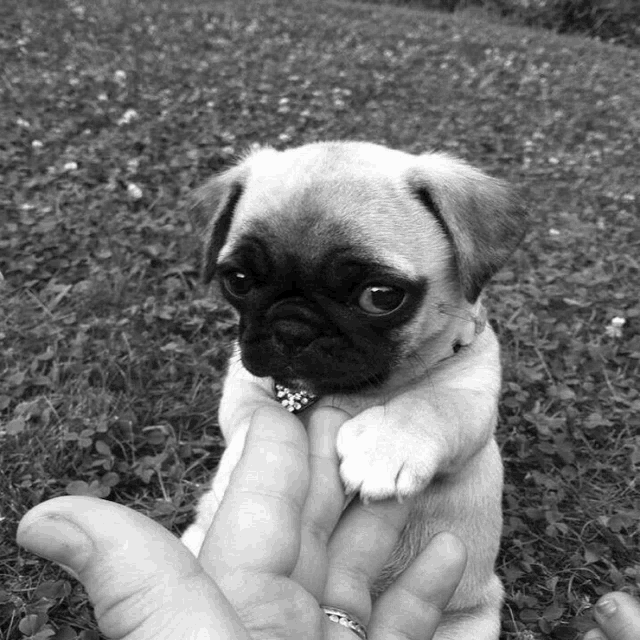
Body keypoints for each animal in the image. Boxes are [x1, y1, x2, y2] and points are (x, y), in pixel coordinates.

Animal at [182, 141, 528, 640]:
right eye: (238, 281)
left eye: (380, 297)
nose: (292, 328)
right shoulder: (242, 381)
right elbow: (252, 419)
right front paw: (235, 469)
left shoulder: (472, 389)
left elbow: (430, 403)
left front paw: (386, 445)